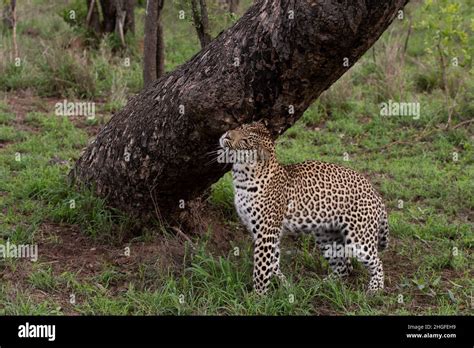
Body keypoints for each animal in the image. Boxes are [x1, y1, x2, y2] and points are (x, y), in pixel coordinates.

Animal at [218, 121, 388, 294]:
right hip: (326, 236)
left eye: (246, 141)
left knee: (377, 262)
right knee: (344, 266)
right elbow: (273, 262)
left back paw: (375, 289)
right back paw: (321, 285)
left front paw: (258, 296)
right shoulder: (266, 232)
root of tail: (375, 194)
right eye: (240, 127)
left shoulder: (266, 231)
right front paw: (283, 285)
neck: (242, 176)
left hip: (359, 238)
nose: (227, 135)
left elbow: (261, 267)